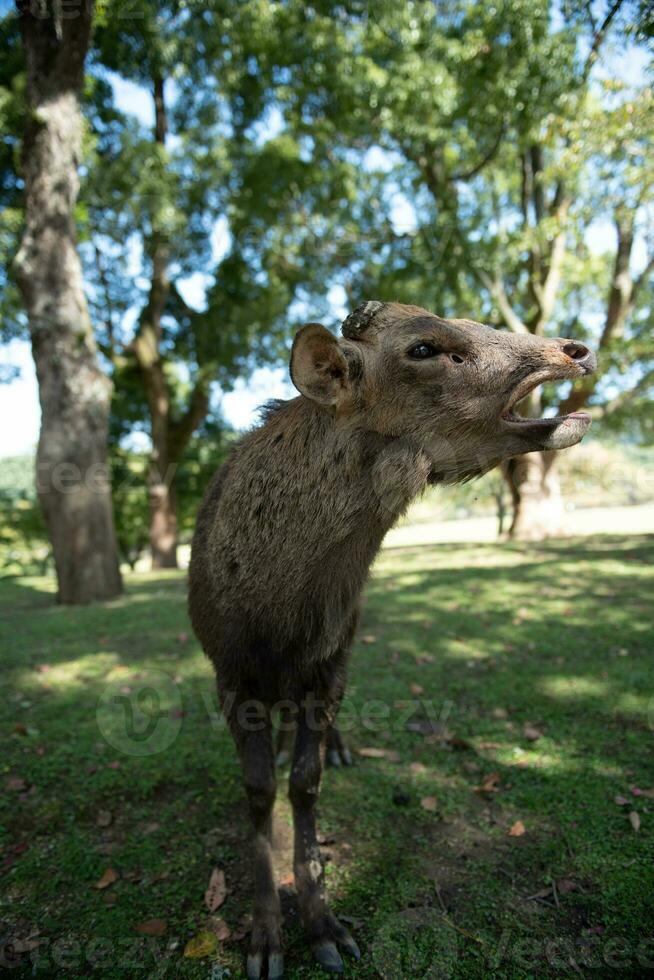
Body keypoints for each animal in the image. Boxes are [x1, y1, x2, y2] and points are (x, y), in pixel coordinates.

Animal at [187, 302, 596, 976]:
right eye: (424, 347)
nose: (577, 349)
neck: (278, 622)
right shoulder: (230, 675)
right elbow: (259, 791)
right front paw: (265, 940)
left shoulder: (331, 665)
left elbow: (304, 784)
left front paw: (325, 926)